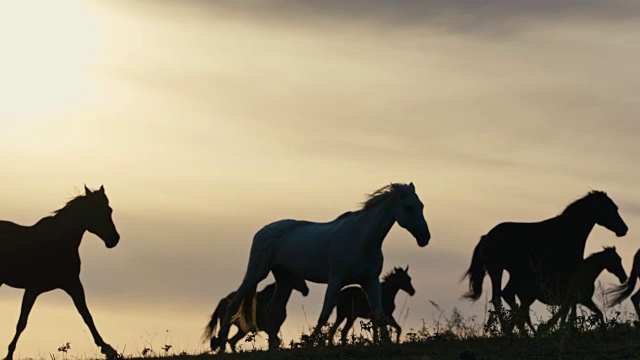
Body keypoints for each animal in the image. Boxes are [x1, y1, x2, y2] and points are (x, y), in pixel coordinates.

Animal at [0, 186, 120, 360]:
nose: (114, 239)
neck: (59, 242)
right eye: (96, 211)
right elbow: (22, 322)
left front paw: (107, 349)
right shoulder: (32, 288)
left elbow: (86, 315)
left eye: (109, 210)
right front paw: (8, 355)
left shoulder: (73, 284)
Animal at [215, 183, 430, 352]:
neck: (362, 240)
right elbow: (324, 314)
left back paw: (273, 347)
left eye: (421, 206)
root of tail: (262, 231)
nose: (425, 238)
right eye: (409, 207)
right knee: (235, 302)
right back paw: (220, 343)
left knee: (270, 313)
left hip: (284, 280)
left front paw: (386, 343)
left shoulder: (371, 281)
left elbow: (379, 313)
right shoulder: (336, 280)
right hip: (257, 273)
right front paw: (311, 343)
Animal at [462, 191, 628, 330]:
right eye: (610, 208)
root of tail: (486, 237)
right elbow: (569, 305)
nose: (624, 229)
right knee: (498, 299)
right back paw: (510, 331)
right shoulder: (568, 275)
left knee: (508, 296)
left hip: (514, 274)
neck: (567, 233)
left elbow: (570, 305)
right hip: (496, 270)